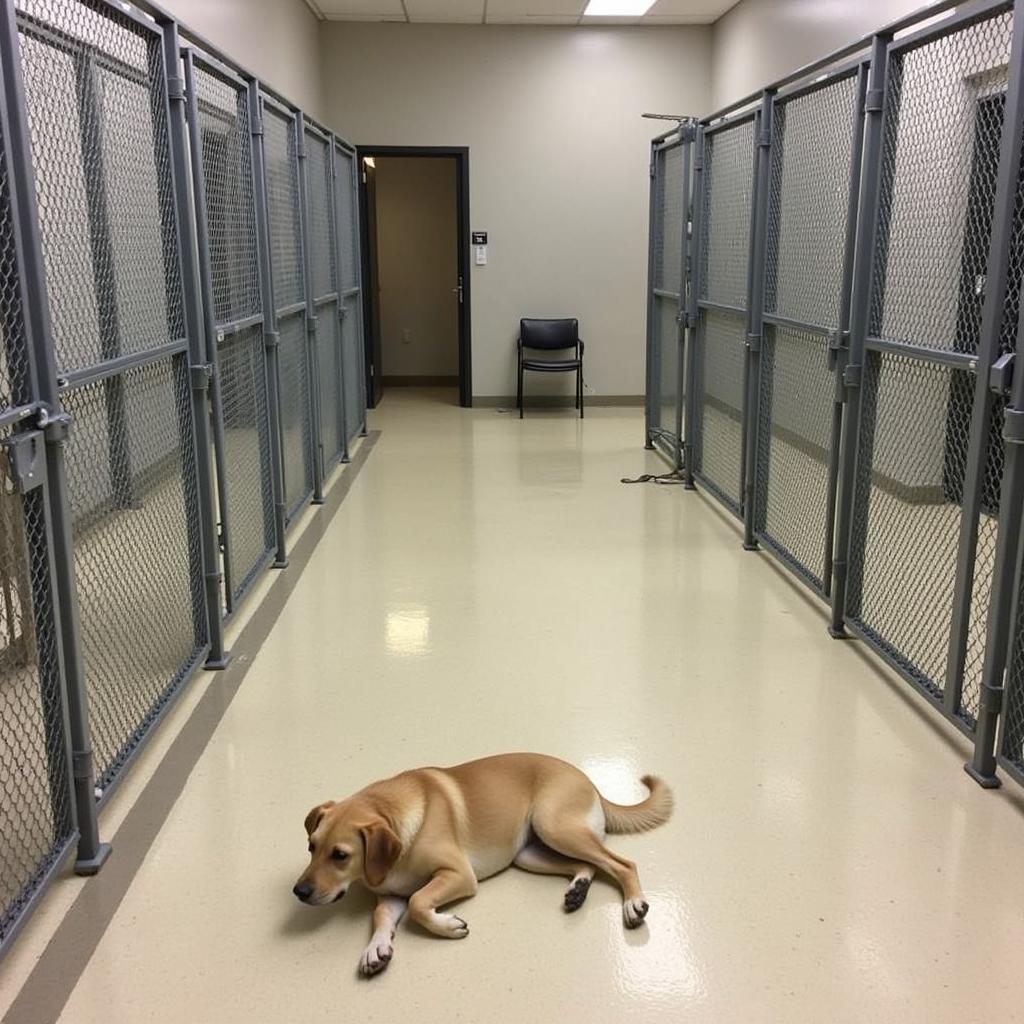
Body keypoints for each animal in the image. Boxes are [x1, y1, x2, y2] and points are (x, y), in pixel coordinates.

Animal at [292, 753, 671, 974]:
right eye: (312, 847)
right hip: (529, 853)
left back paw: (634, 904)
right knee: (587, 865)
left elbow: (419, 902)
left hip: (555, 826)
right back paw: (578, 889)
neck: (393, 815)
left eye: (340, 855)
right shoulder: (390, 894)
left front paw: (447, 925)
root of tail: (589, 781)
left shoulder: (458, 874)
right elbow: (381, 916)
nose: (300, 891)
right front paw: (375, 948)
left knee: (622, 863)